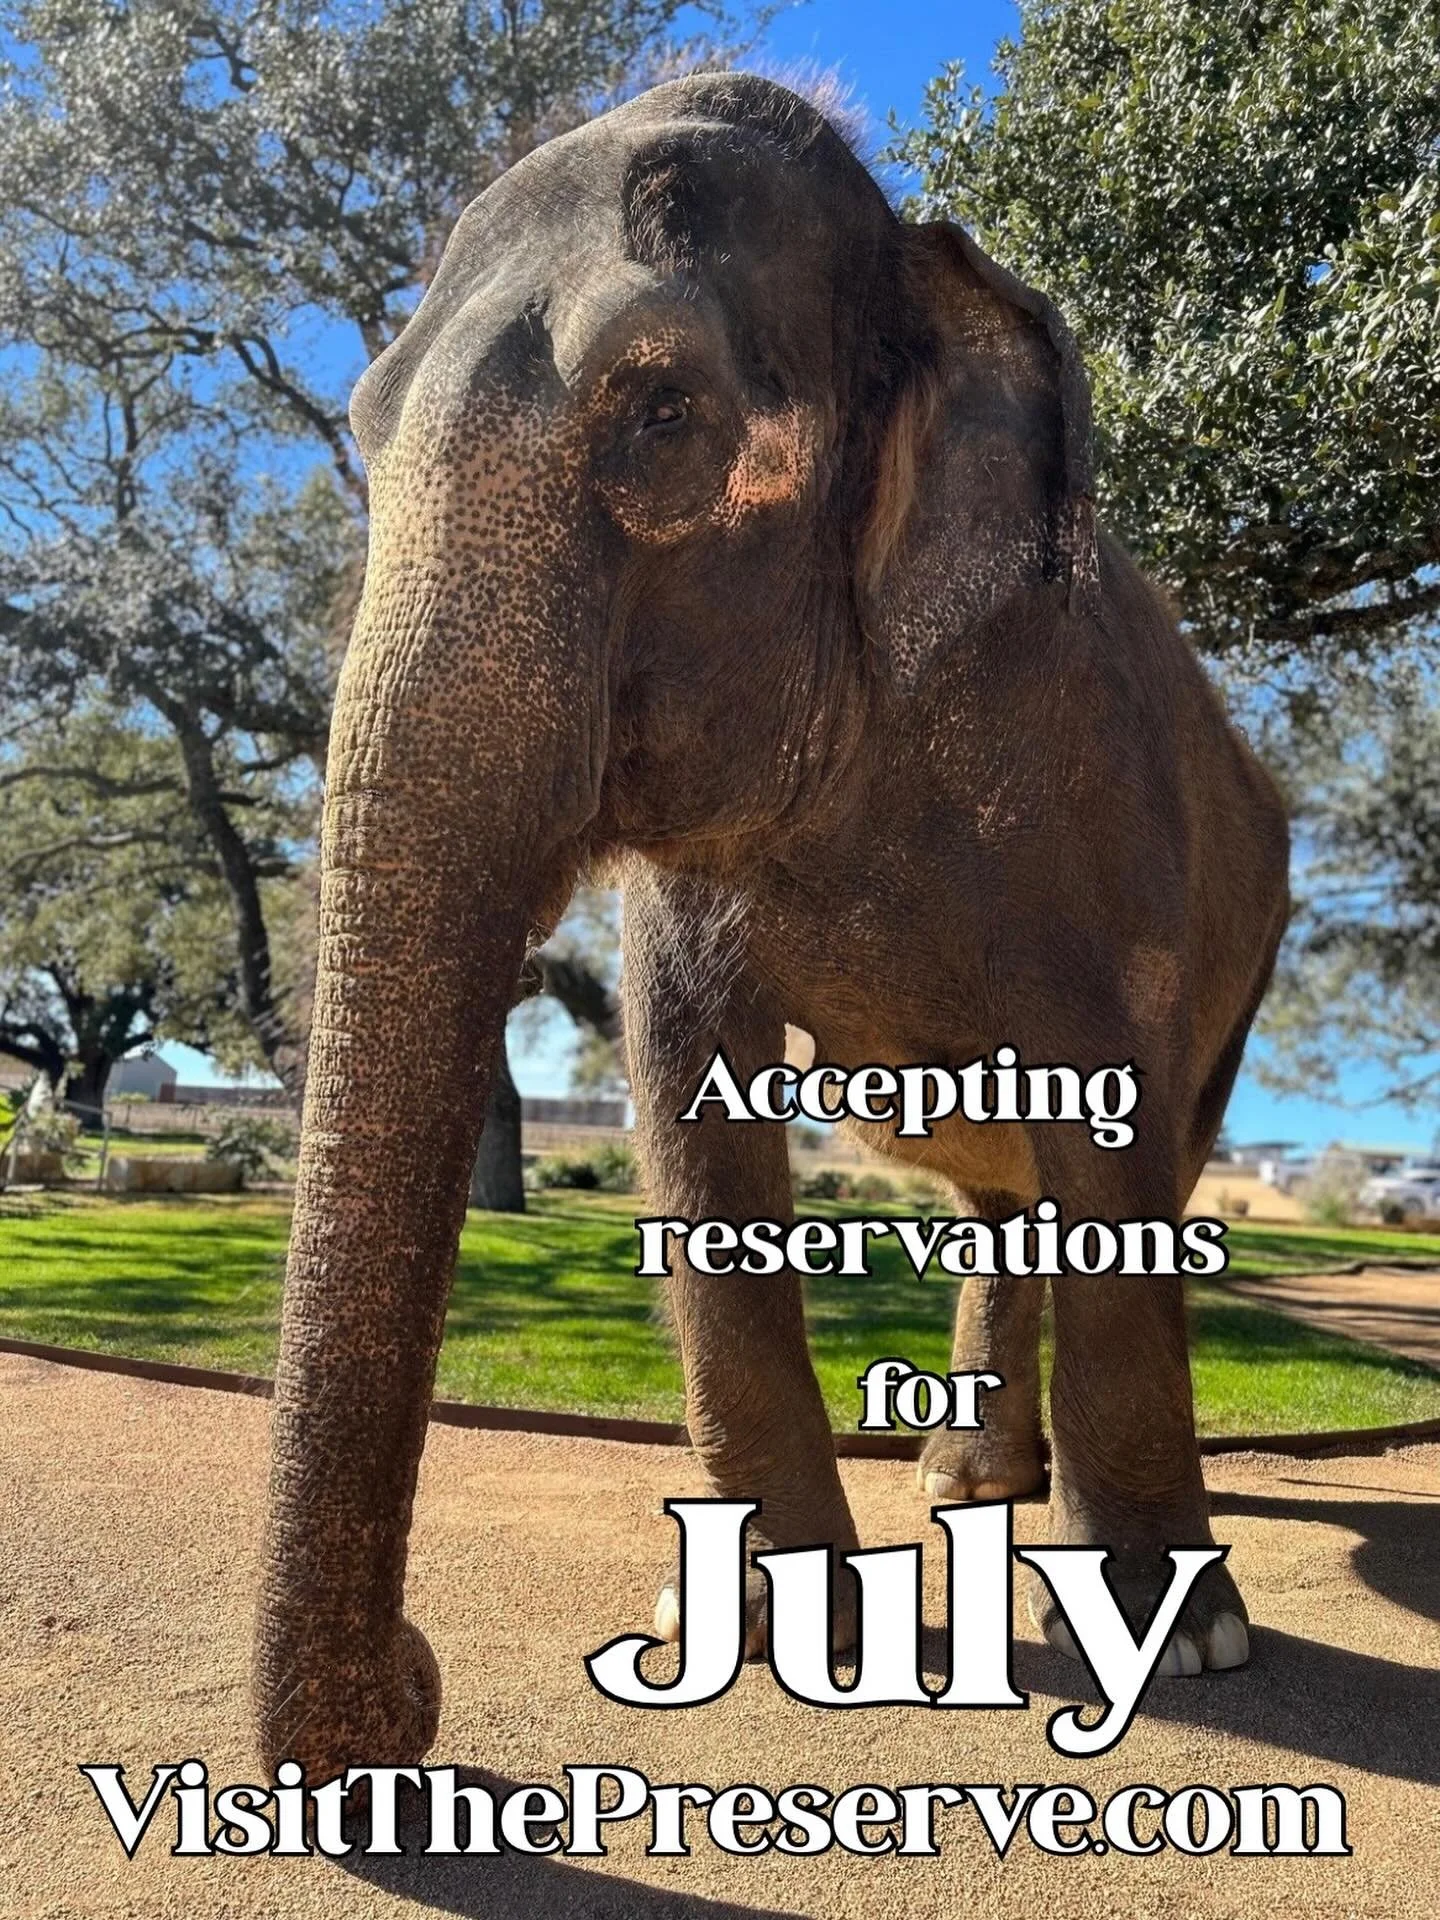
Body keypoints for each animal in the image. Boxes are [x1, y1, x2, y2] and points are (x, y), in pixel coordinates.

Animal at [254, 72, 1290, 1778]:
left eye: (663, 410)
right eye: (361, 422)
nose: (413, 1691)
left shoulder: (1094, 804)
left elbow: (1115, 1133)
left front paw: (1179, 1640)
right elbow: (693, 1118)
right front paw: (756, 1633)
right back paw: (967, 1487)